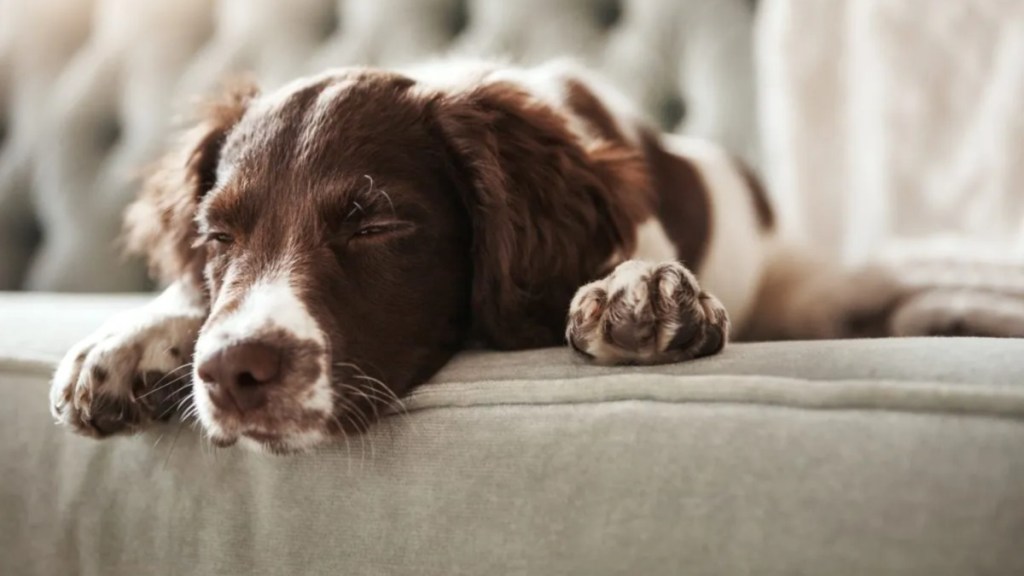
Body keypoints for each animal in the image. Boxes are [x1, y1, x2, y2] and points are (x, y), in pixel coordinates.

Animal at [49, 59, 1024, 453]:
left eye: (376, 226)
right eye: (217, 238)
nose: (235, 374)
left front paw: (645, 289)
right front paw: (128, 340)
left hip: (811, 289)